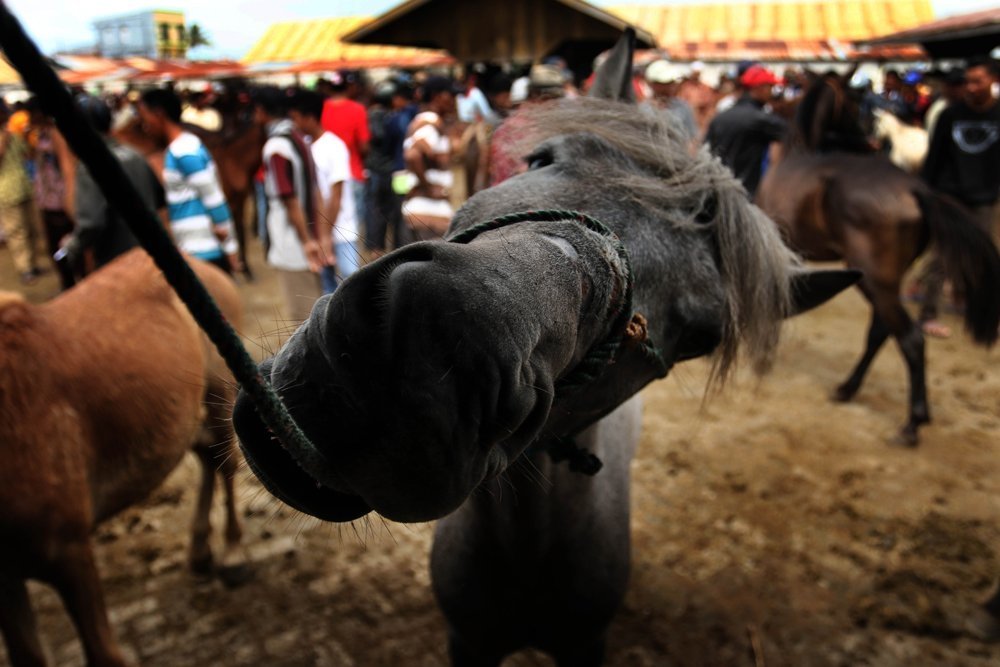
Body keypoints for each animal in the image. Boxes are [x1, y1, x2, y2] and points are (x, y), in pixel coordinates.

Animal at [0, 250, 247, 667]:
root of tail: (198, 261)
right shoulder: (6, 576)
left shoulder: (70, 550)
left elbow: (104, 654)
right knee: (208, 459)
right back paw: (199, 553)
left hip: (220, 395)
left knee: (226, 465)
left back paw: (232, 553)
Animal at [232, 31, 856, 666]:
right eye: (542, 158)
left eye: (702, 334)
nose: (427, 344)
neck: (525, 553)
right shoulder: (468, 641)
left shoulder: (585, 645)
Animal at [757, 74, 1000, 445]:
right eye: (857, 102)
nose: (871, 140)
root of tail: (918, 190)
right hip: (878, 279)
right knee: (881, 331)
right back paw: (847, 388)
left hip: (874, 279)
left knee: (911, 339)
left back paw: (913, 422)